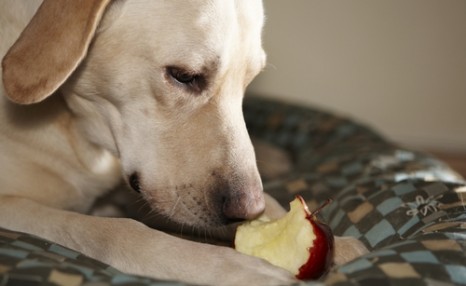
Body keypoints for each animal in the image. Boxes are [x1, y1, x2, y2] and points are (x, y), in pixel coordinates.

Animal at [0, 0, 366, 286]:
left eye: (248, 82)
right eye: (184, 76)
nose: (248, 209)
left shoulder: (149, 192)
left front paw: (332, 241)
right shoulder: (15, 207)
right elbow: (110, 230)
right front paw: (231, 267)